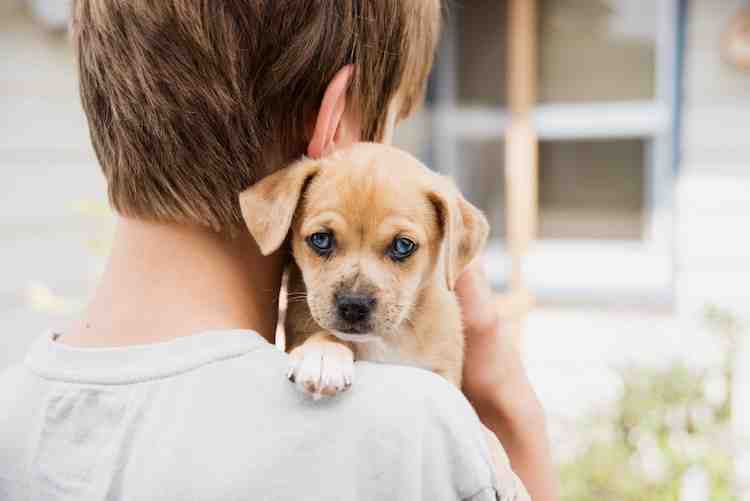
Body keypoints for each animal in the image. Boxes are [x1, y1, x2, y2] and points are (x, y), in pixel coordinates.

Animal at [238, 143, 490, 396]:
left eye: (403, 245)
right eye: (321, 239)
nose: (353, 306)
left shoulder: (446, 372)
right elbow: (325, 333)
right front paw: (322, 354)